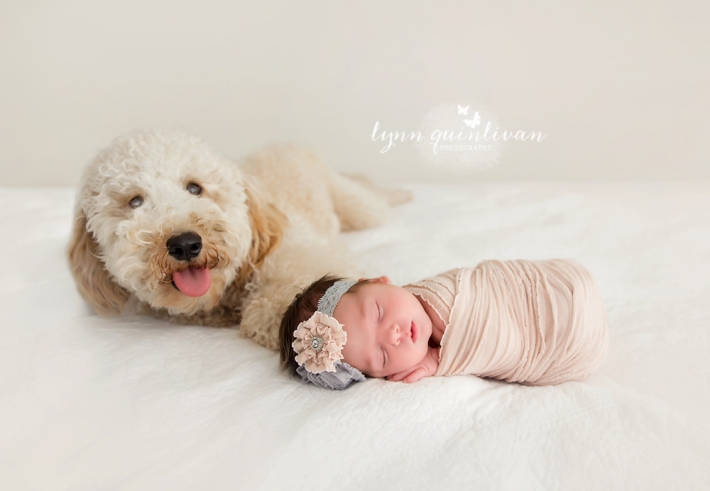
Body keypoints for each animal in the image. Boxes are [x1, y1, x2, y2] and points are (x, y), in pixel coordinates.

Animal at [68, 128, 412, 350]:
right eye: (135, 202)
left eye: (194, 188)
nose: (185, 244)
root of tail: (287, 143)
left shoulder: (309, 253)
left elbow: (275, 303)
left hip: (355, 204)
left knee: (369, 194)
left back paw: (399, 193)